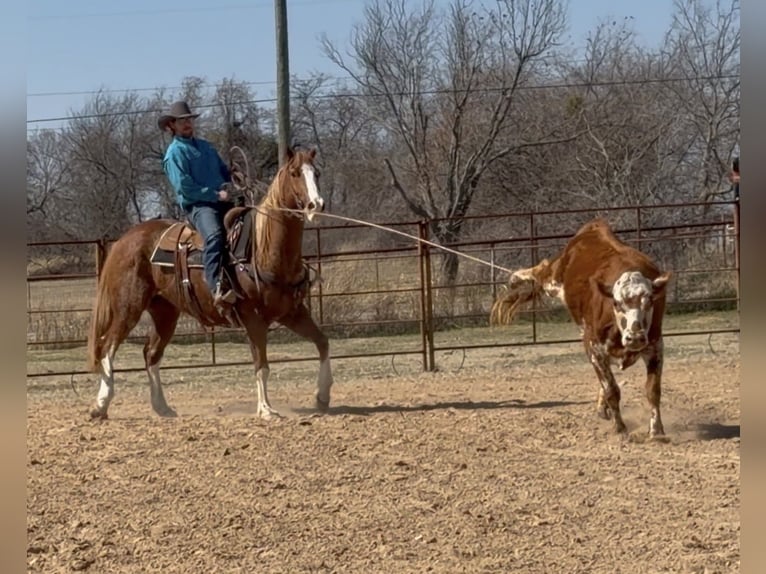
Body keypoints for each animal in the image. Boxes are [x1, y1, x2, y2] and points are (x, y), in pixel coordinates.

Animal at [86, 147, 333, 420]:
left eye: (317, 172)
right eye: (295, 173)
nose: (315, 205)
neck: (263, 249)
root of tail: (125, 240)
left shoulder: (293, 312)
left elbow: (323, 343)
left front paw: (322, 396)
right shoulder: (253, 319)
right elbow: (262, 365)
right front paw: (266, 409)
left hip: (165, 312)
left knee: (151, 354)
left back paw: (162, 407)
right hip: (128, 308)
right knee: (107, 347)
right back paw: (100, 405)